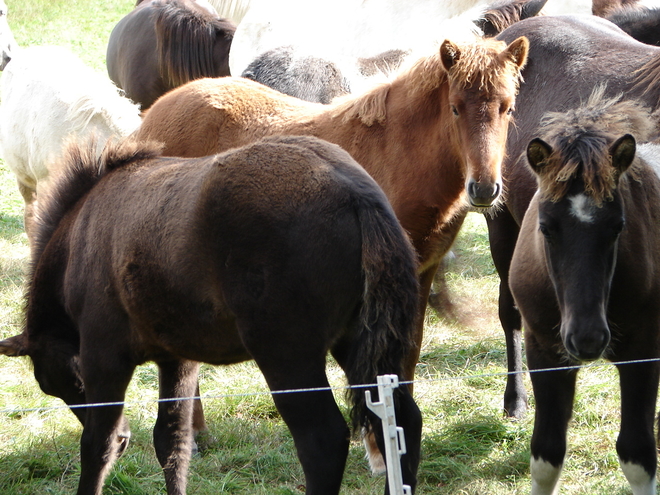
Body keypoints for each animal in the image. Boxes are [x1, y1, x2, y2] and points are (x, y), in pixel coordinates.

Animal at [0, 136, 422, 495]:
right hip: (356, 344)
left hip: (286, 354)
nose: (125, 440)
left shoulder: (103, 356)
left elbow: (95, 446)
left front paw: (108, 445)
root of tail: (357, 194)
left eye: (56, 383)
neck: (78, 239)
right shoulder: (178, 359)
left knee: (323, 439)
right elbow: (171, 440)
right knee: (401, 419)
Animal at [512, 90, 660, 495]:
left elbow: (638, 453)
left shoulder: (643, 352)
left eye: (618, 226)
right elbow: (546, 454)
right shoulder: (545, 351)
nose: (588, 338)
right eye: (546, 227)